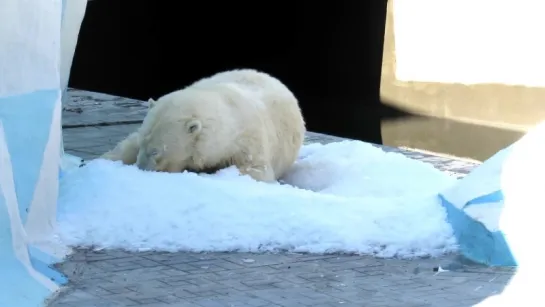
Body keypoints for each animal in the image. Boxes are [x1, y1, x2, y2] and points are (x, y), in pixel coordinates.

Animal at [100, 68, 306, 182]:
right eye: (143, 145)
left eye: (156, 151)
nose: (141, 168)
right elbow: (128, 144)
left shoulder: (249, 142)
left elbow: (256, 171)